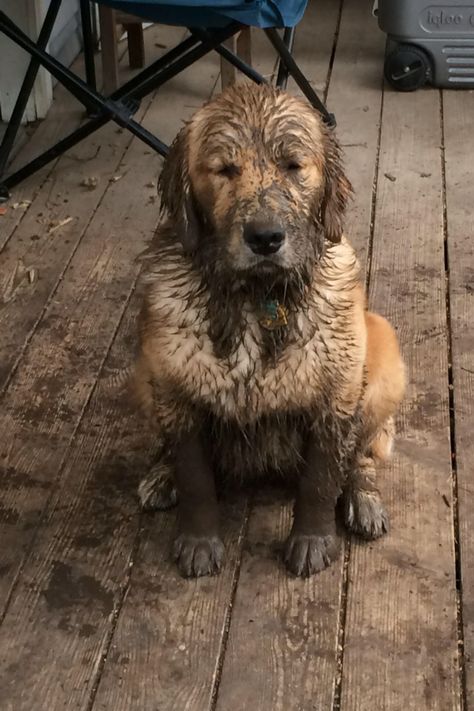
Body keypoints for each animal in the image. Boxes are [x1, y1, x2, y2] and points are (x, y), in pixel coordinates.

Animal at [131, 83, 406, 580]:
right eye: (224, 169)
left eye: (293, 166)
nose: (264, 238)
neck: (255, 298)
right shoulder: (175, 388)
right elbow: (194, 474)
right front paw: (198, 541)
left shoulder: (335, 397)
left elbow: (320, 478)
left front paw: (312, 541)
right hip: (143, 370)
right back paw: (160, 476)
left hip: (383, 358)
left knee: (361, 455)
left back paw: (364, 499)